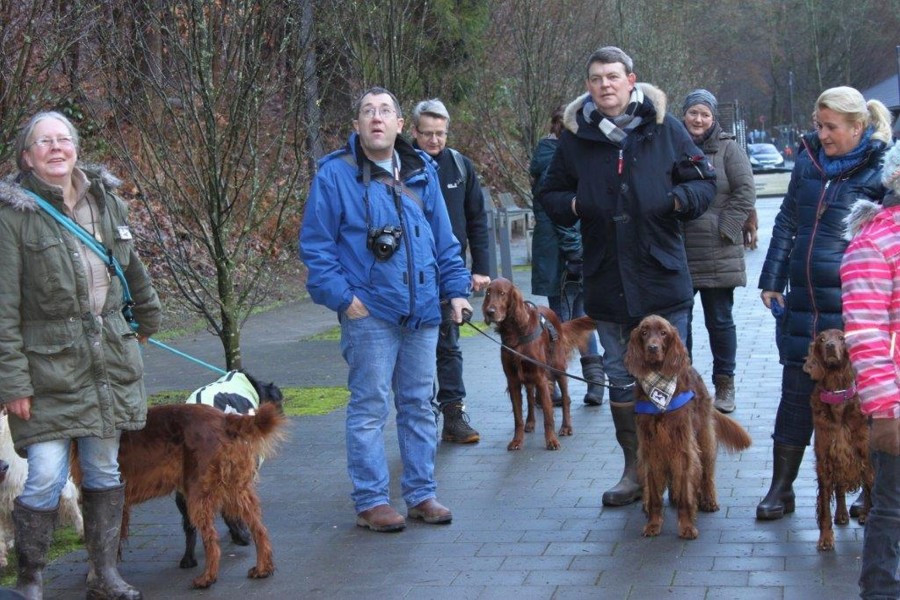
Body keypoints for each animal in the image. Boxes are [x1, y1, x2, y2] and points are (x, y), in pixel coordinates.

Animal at [74, 402, 286, 589]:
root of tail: (225, 419)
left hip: (198, 493)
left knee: (212, 538)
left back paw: (207, 578)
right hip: (235, 487)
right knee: (259, 528)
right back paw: (262, 569)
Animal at [482, 277, 596, 450]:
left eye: (502, 293)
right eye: (488, 292)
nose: (490, 312)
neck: (516, 332)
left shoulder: (541, 378)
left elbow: (548, 416)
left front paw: (551, 441)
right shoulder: (513, 380)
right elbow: (518, 417)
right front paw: (517, 441)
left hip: (558, 367)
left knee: (566, 398)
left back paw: (566, 427)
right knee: (530, 398)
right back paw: (530, 423)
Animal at [624, 315, 752, 539]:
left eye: (664, 333)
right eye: (644, 332)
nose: (652, 348)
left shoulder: (683, 446)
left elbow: (686, 491)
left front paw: (686, 527)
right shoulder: (650, 448)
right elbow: (655, 492)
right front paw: (653, 524)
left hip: (704, 437)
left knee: (707, 472)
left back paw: (708, 500)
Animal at [802, 329, 873, 551]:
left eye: (842, 338)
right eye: (822, 339)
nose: (830, 347)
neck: (838, 395)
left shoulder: (865, 455)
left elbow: (871, 489)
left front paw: (868, 515)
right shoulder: (825, 460)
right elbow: (825, 503)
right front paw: (825, 538)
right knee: (840, 487)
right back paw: (841, 514)